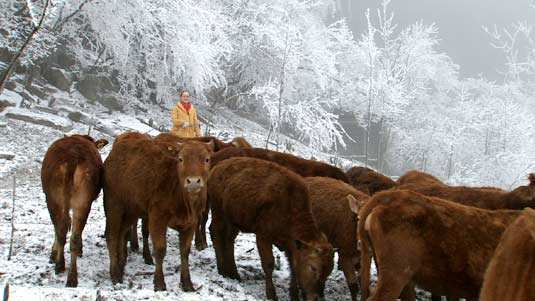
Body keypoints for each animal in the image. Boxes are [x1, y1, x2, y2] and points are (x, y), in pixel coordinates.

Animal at [42, 134, 109, 286]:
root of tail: (72, 158)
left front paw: (53, 254)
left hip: (57, 198)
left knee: (62, 229)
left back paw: (62, 266)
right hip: (78, 201)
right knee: (70, 233)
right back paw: (70, 275)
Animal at [102, 132, 214, 290]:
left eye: (207, 159)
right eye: (180, 159)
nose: (193, 182)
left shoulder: (191, 223)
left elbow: (184, 252)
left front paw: (187, 283)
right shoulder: (157, 217)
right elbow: (160, 249)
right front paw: (159, 283)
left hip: (132, 210)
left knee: (121, 233)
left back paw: (121, 266)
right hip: (114, 204)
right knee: (111, 235)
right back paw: (115, 274)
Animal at [207, 157, 332, 300]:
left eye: (328, 272)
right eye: (313, 268)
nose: (317, 297)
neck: (290, 206)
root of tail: (217, 167)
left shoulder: (290, 245)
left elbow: (293, 268)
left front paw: (293, 295)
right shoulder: (263, 237)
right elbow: (269, 264)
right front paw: (271, 294)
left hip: (234, 219)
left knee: (229, 239)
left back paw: (234, 274)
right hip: (218, 211)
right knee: (215, 232)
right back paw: (222, 270)